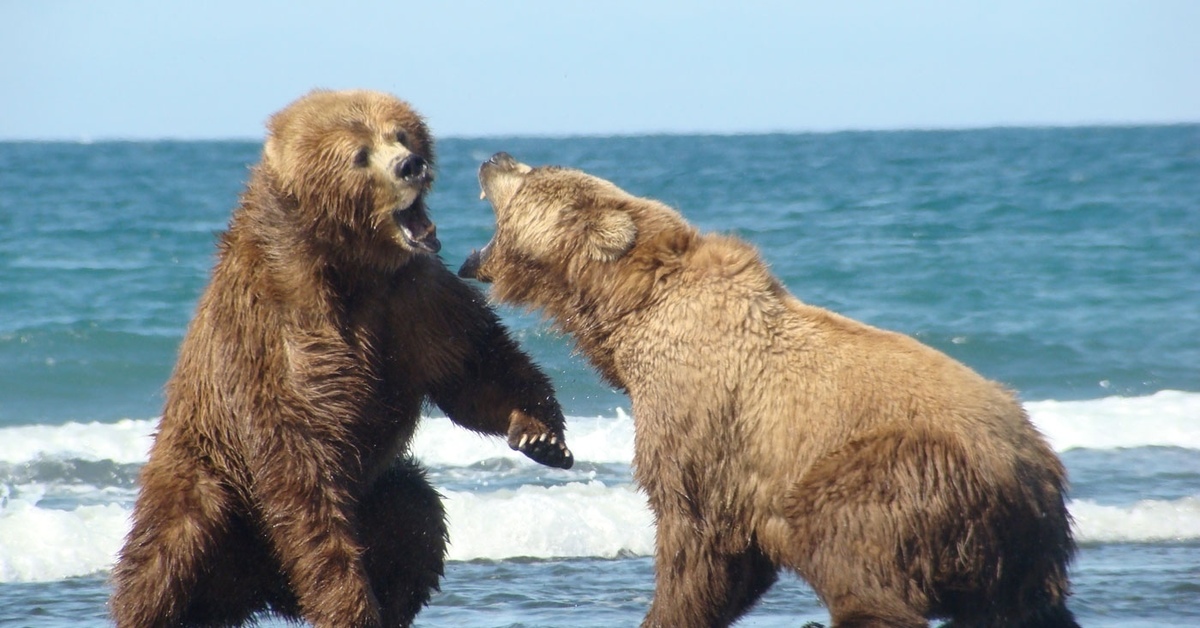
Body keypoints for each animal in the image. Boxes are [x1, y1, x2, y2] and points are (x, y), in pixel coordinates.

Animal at [109, 93, 571, 628]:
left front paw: (539, 433)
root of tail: (264, 593)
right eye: (359, 154)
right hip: (207, 478)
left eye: (401, 134)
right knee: (167, 554)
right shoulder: (279, 330)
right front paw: (348, 603)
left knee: (416, 514)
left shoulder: (414, 298)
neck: (347, 265)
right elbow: (300, 455)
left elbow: (474, 365)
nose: (411, 165)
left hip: (375, 498)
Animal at [456, 153, 1080, 628]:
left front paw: (666, 611)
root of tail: (1036, 473)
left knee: (851, 546)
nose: (494, 157)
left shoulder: (704, 415)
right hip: (1013, 553)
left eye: (536, 172)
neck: (624, 316)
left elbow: (698, 535)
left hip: (901, 469)